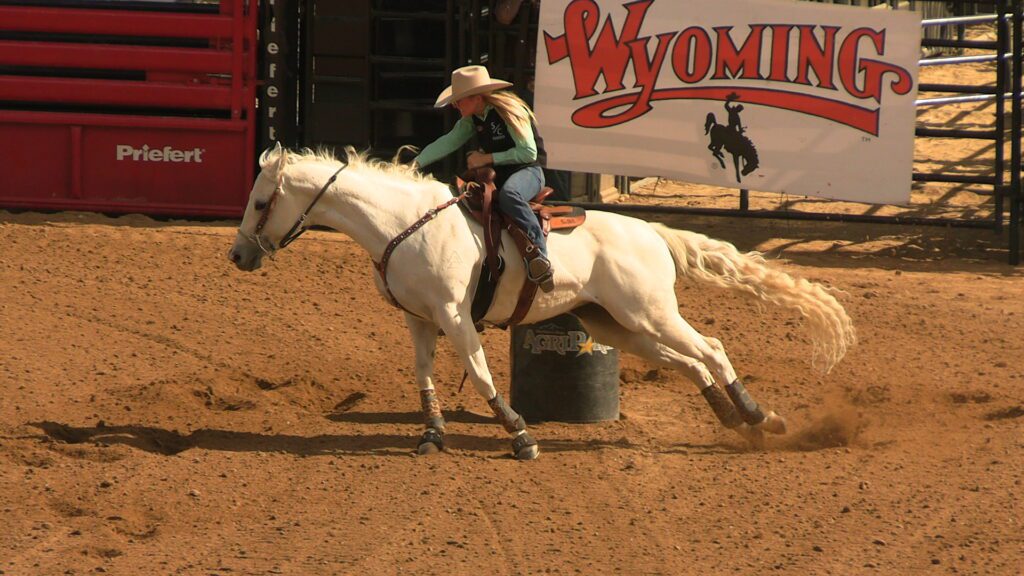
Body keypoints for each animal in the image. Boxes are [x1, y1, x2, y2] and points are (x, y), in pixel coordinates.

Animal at [228, 143, 855, 460]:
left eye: (260, 202)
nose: (237, 255)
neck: (404, 224)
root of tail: (652, 232)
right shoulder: (419, 321)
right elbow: (424, 376)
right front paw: (432, 435)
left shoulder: (455, 317)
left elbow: (481, 374)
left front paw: (520, 434)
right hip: (619, 326)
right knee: (689, 362)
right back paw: (732, 418)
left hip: (651, 314)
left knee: (714, 349)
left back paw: (760, 419)